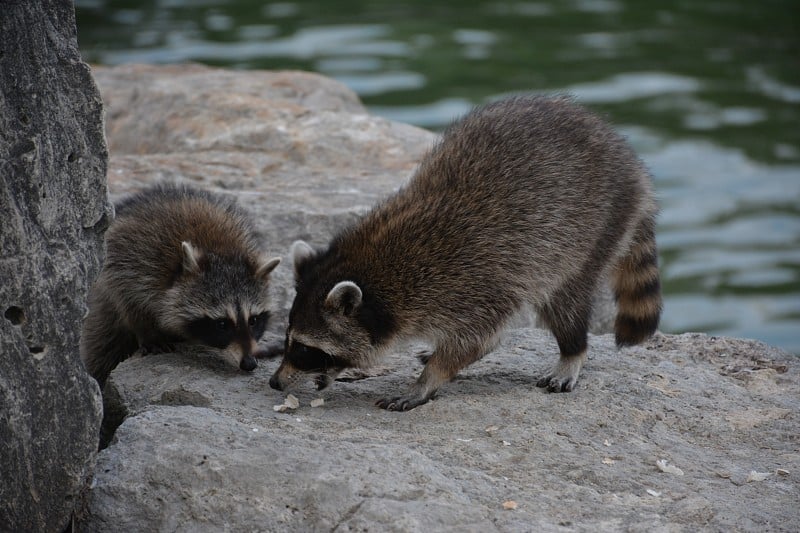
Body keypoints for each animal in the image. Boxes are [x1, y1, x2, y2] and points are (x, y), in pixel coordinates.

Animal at [81, 183, 282, 386]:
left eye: (253, 320)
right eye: (222, 324)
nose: (249, 363)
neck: (222, 249)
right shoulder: (133, 257)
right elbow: (126, 296)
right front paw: (146, 330)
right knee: (103, 344)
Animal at [268, 95, 664, 410]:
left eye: (305, 349)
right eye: (288, 340)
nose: (274, 382)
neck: (376, 269)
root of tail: (633, 167)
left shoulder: (469, 285)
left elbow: (478, 337)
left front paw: (428, 379)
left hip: (591, 231)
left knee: (564, 299)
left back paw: (572, 352)